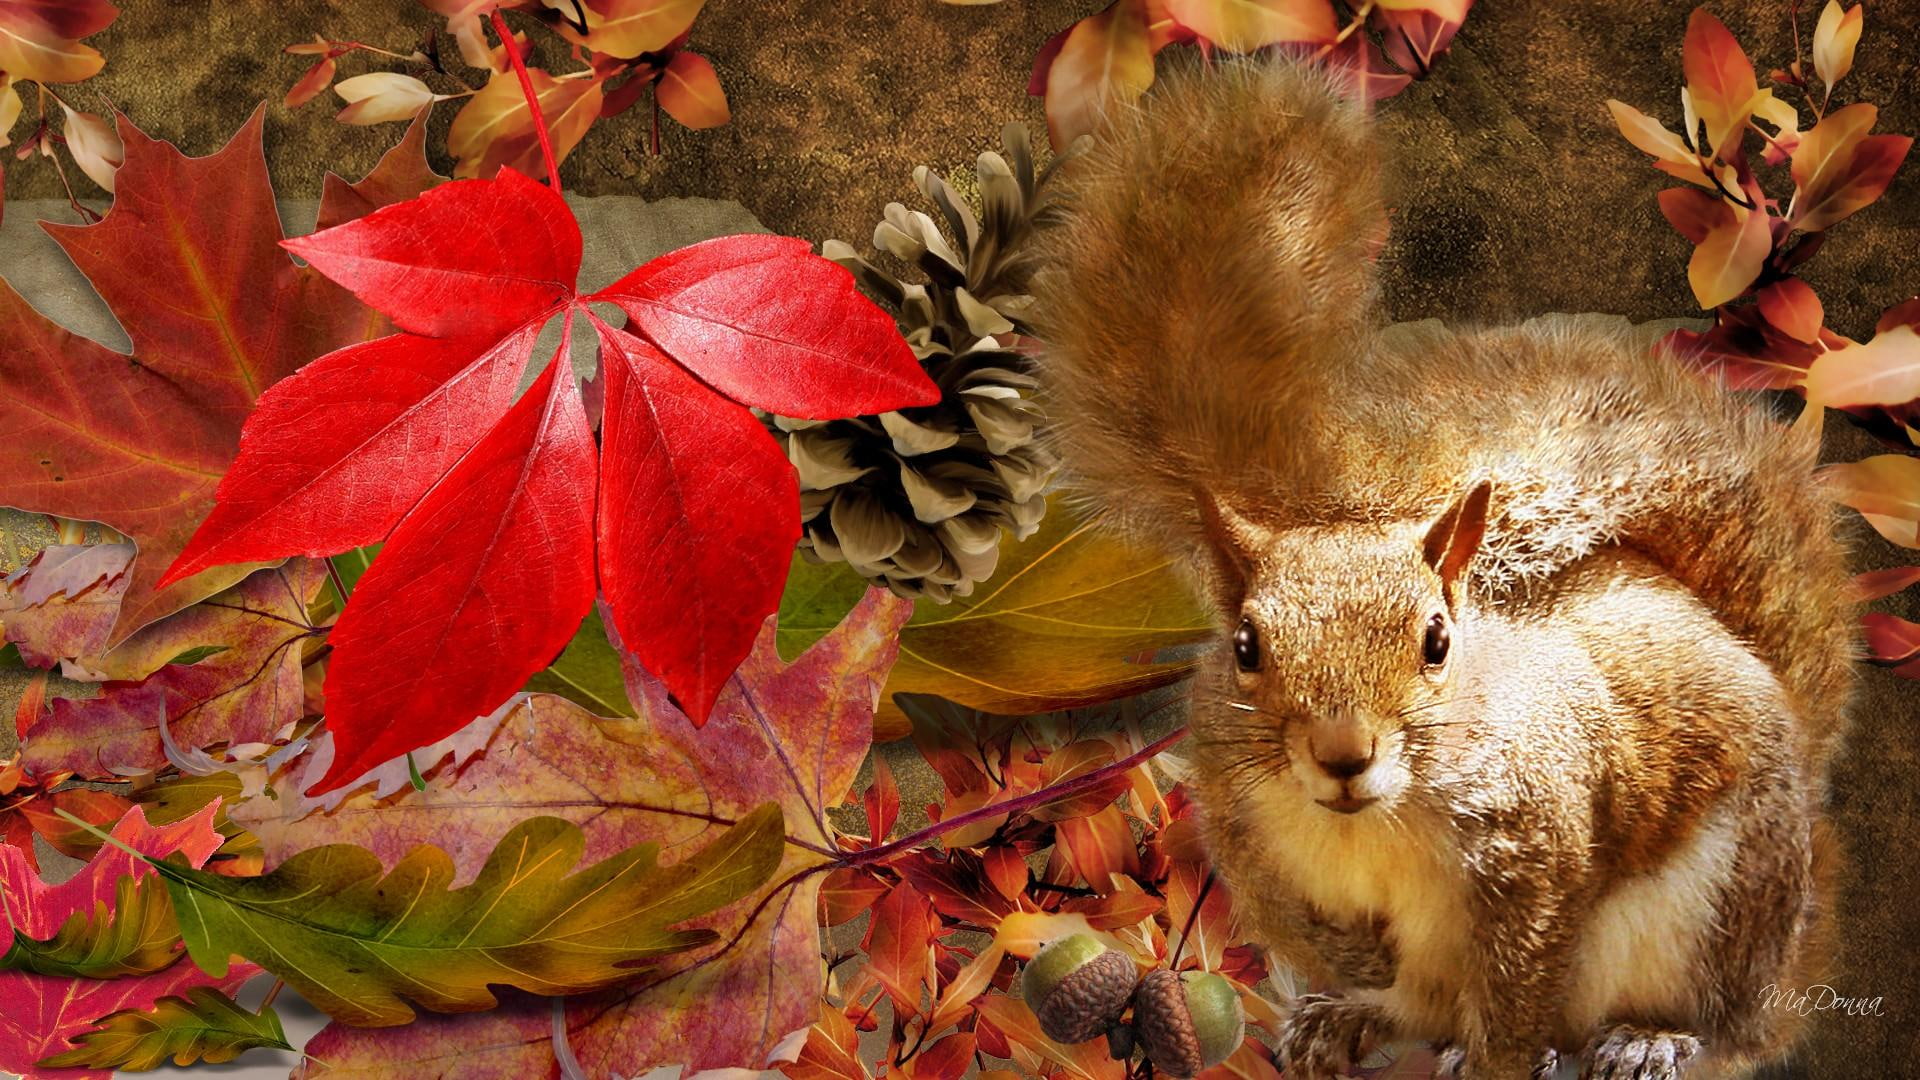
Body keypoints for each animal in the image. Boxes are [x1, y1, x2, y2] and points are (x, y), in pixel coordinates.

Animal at [1028, 60, 1857, 1080]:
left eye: (1437, 641)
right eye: (1246, 646)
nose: (1344, 754)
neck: (1369, 821)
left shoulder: (1537, 842)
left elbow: (1518, 984)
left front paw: (1504, 1058)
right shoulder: (1232, 803)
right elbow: (1274, 895)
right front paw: (1350, 958)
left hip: (1719, 911)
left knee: (1718, 1030)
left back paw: (1647, 1039)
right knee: (1420, 1006)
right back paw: (1350, 1014)